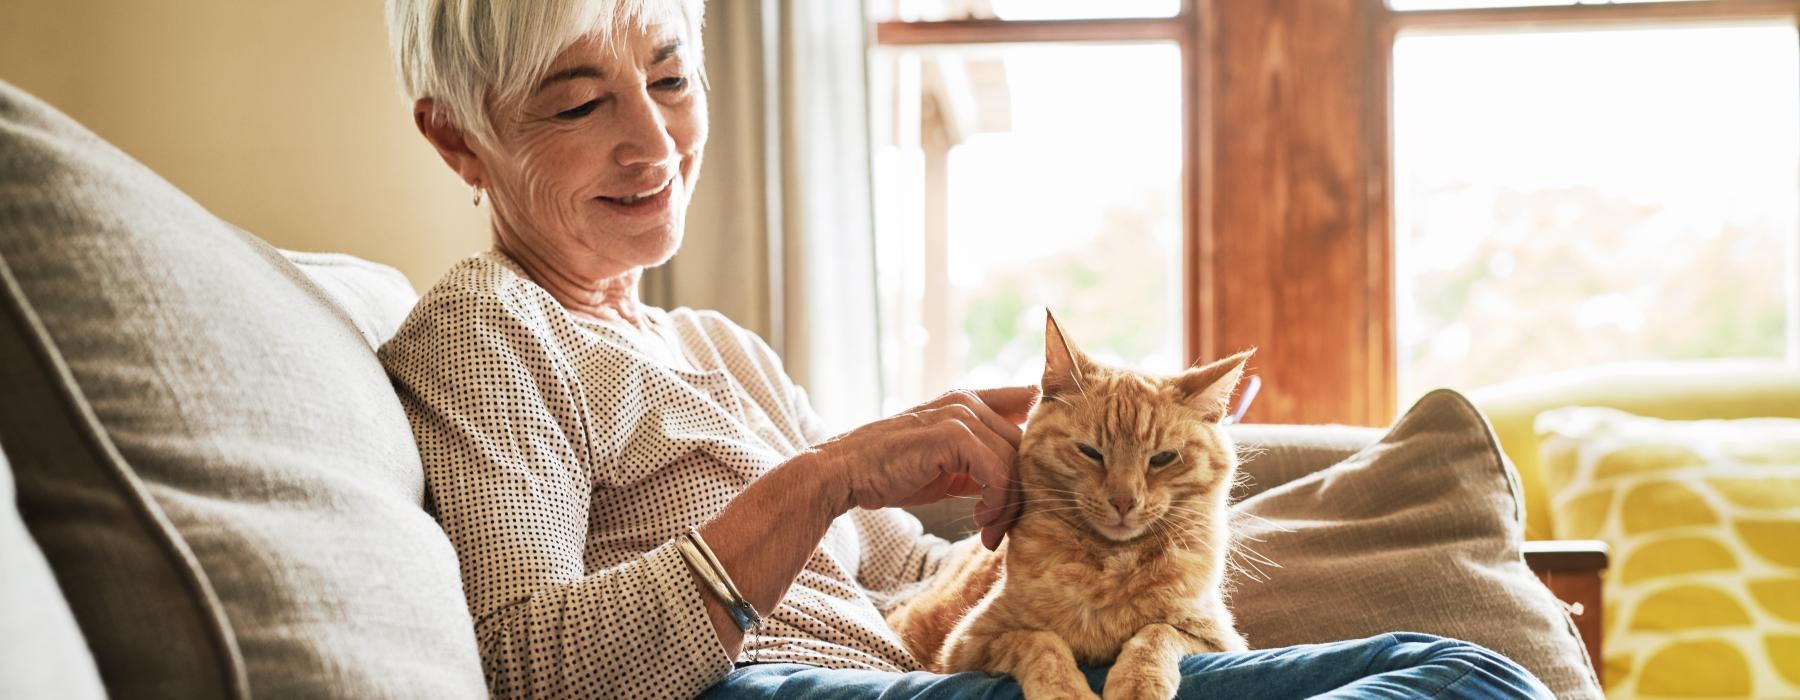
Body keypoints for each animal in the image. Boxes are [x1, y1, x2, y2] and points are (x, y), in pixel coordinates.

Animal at [885, 313, 1252, 698]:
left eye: (1163, 458)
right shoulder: (968, 646)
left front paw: (1136, 684)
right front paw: (1065, 690)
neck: (1110, 565)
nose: (1124, 500)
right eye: (1090, 452)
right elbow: (1040, 641)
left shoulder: (1217, 637)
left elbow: (1157, 632)